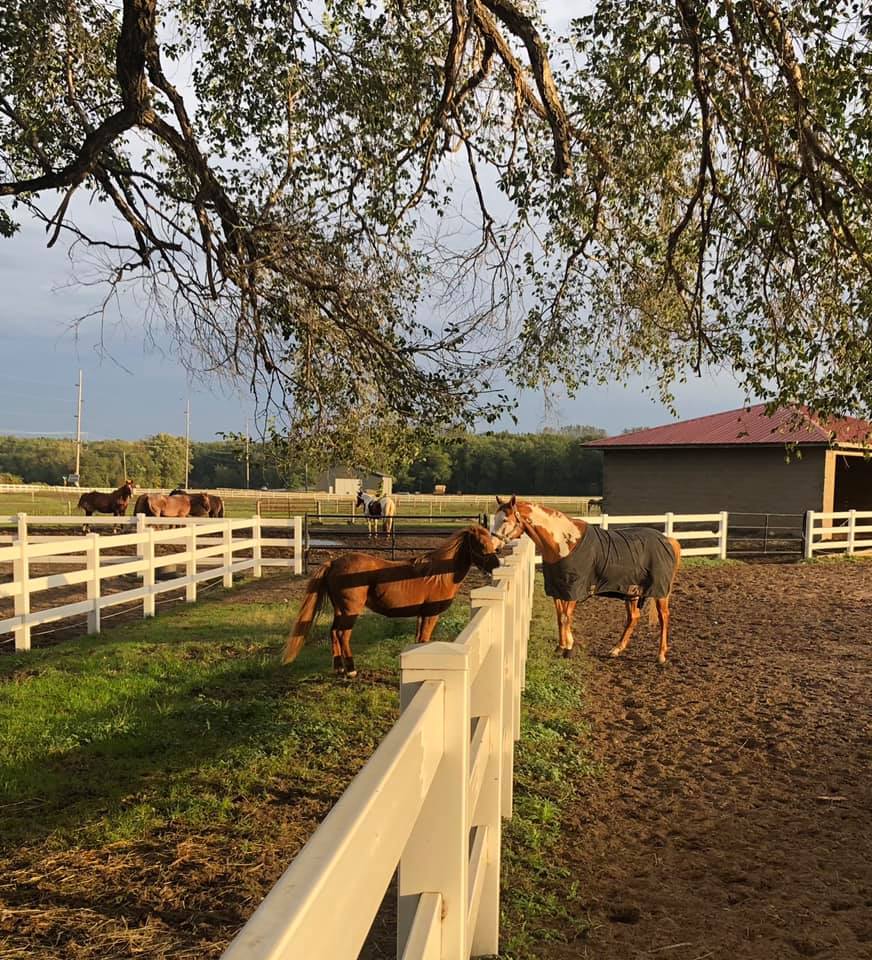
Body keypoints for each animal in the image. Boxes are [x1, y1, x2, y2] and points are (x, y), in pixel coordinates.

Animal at [282, 524, 500, 676]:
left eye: (493, 544)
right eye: (481, 545)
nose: (496, 566)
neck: (439, 574)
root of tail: (334, 562)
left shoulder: (422, 615)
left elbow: (419, 640)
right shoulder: (431, 614)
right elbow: (424, 639)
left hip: (340, 610)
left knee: (334, 632)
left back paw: (338, 668)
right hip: (350, 611)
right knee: (343, 635)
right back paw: (351, 670)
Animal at [490, 498, 680, 664]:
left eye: (505, 519)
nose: (493, 546)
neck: (565, 543)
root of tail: (668, 540)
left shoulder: (574, 590)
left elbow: (566, 617)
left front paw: (569, 649)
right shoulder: (558, 590)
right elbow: (560, 617)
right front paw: (561, 647)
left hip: (660, 593)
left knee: (664, 617)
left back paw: (661, 655)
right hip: (631, 591)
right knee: (633, 617)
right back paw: (616, 650)